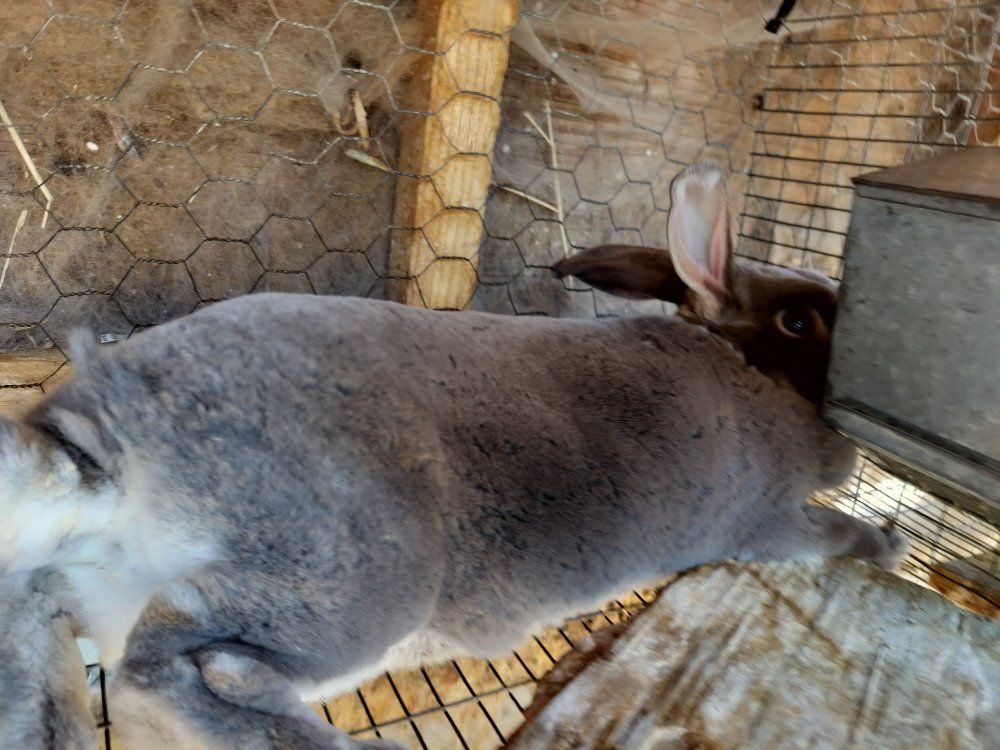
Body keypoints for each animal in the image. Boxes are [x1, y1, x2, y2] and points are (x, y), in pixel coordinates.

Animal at [0, 161, 907, 750]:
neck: (742, 367)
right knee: (172, 673)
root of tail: (103, 440)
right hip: (352, 583)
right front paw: (891, 541)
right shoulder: (768, 520)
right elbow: (832, 535)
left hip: (81, 591)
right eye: (800, 322)